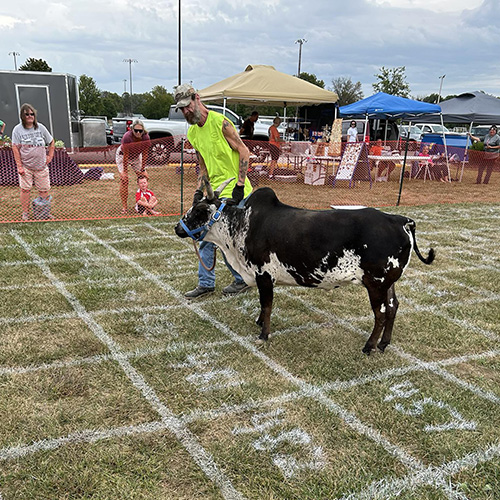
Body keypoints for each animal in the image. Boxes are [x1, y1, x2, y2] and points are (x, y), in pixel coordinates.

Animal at [176, 182, 434, 354]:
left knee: (381, 313)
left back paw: (369, 346)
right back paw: (383, 343)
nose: (178, 228)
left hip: (376, 283)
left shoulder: (263, 274)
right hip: (388, 283)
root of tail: (400, 220)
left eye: (199, 211)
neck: (243, 224)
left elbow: (267, 305)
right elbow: (263, 305)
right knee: (393, 307)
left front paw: (263, 334)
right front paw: (259, 322)